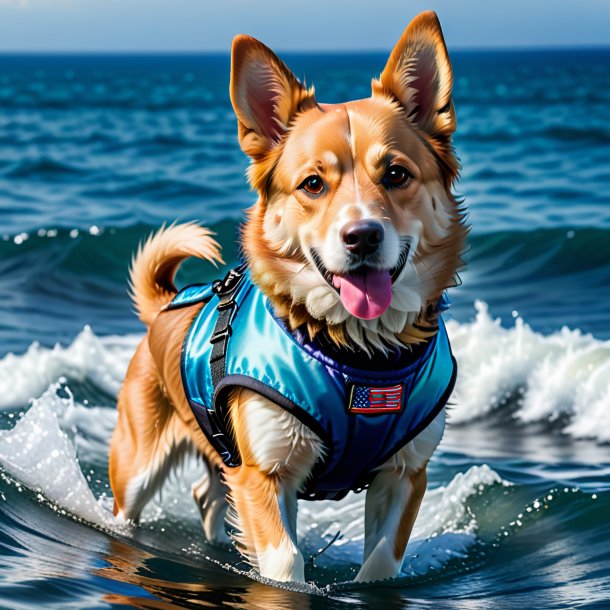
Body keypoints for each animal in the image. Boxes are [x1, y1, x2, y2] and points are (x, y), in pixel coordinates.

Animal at [108, 9, 466, 580]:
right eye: (313, 184)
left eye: (396, 174)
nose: (362, 236)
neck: (356, 352)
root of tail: (164, 306)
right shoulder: (265, 473)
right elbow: (284, 563)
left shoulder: (406, 473)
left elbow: (381, 564)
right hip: (139, 462)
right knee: (131, 508)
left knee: (208, 496)